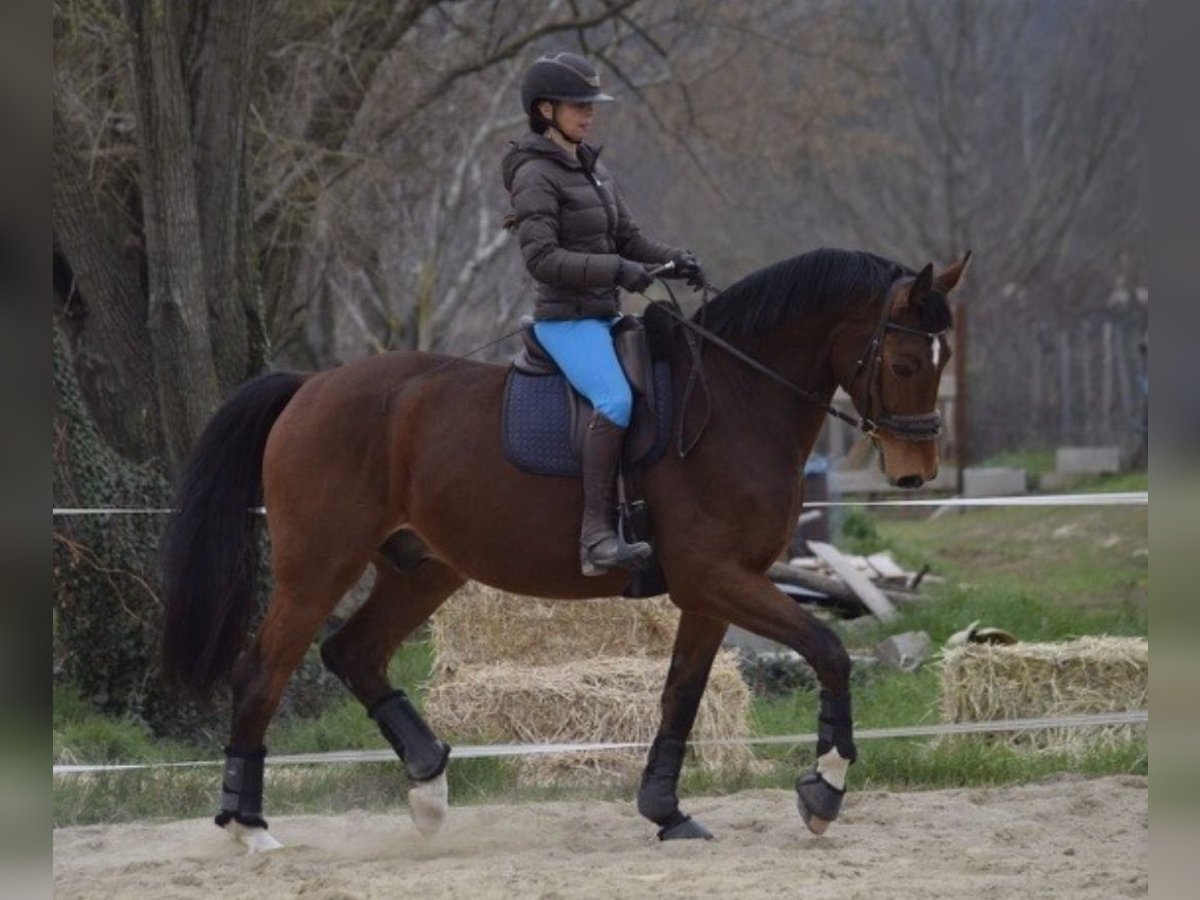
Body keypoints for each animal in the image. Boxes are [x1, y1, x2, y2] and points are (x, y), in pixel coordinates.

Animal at [159, 247, 969, 854]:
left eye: (942, 359)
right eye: (904, 364)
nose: (915, 473)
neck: (737, 401)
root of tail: (310, 387)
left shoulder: (713, 590)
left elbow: (681, 694)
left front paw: (667, 812)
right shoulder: (717, 578)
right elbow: (828, 650)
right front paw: (825, 788)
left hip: (422, 569)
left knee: (352, 653)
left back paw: (429, 788)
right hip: (317, 567)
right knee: (262, 673)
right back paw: (249, 827)